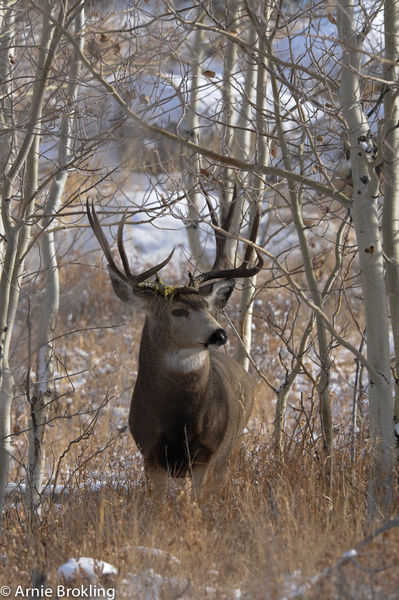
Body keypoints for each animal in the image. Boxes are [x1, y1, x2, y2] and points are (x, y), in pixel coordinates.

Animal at [87, 198, 262, 496]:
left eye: (206, 306)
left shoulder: (208, 452)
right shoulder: (149, 452)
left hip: (232, 447)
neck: (179, 420)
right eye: (178, 311)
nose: (219, 334)